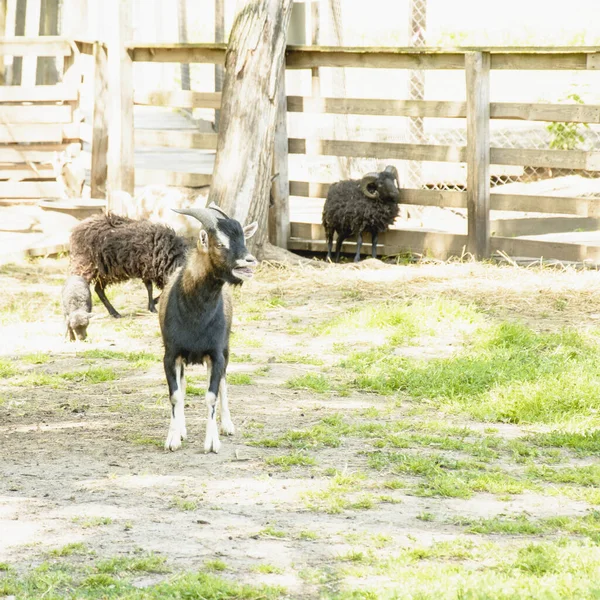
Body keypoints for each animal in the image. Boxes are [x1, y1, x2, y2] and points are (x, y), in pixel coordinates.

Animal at [158, 204, 256, 452]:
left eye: (243, 238)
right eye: (220, 243)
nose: (250, 261)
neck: (196, 315)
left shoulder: (216, 354)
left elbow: (212, 394)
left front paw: (212, 442)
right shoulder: (171, 354)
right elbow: (175, 395)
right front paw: (173, 438)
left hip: (226, 350)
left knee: (223, 383)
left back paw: (227, 425)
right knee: (183, 385)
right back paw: (181, 429)